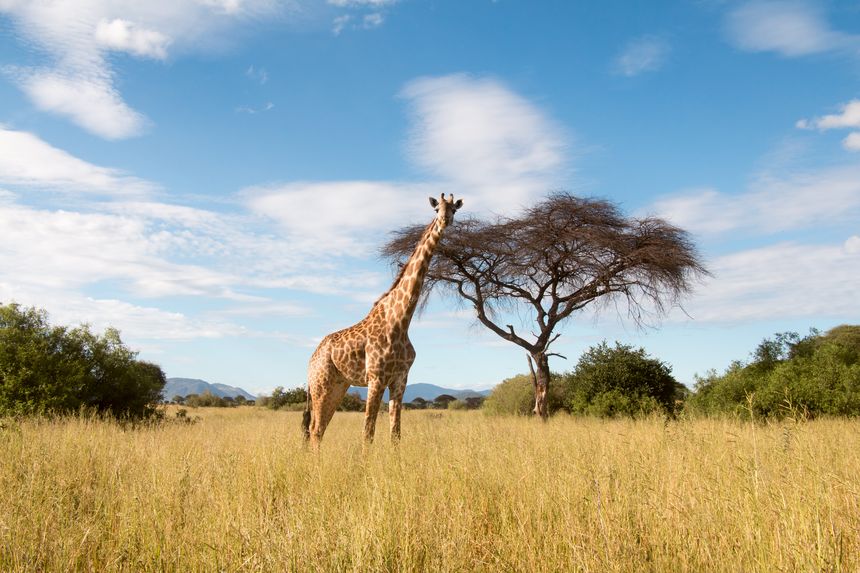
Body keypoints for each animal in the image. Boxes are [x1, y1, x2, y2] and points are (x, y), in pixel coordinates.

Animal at [304, 192, 464, 446]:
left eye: (454, 209)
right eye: (436, 208)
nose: (444, 220)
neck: (401, 321)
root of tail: (310, 360)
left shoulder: (400, 379)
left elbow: (395, 433)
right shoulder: (376, 378)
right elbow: (368, 432)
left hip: (339, 385)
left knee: (318, 428)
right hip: (321, 384)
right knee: (315, 429)